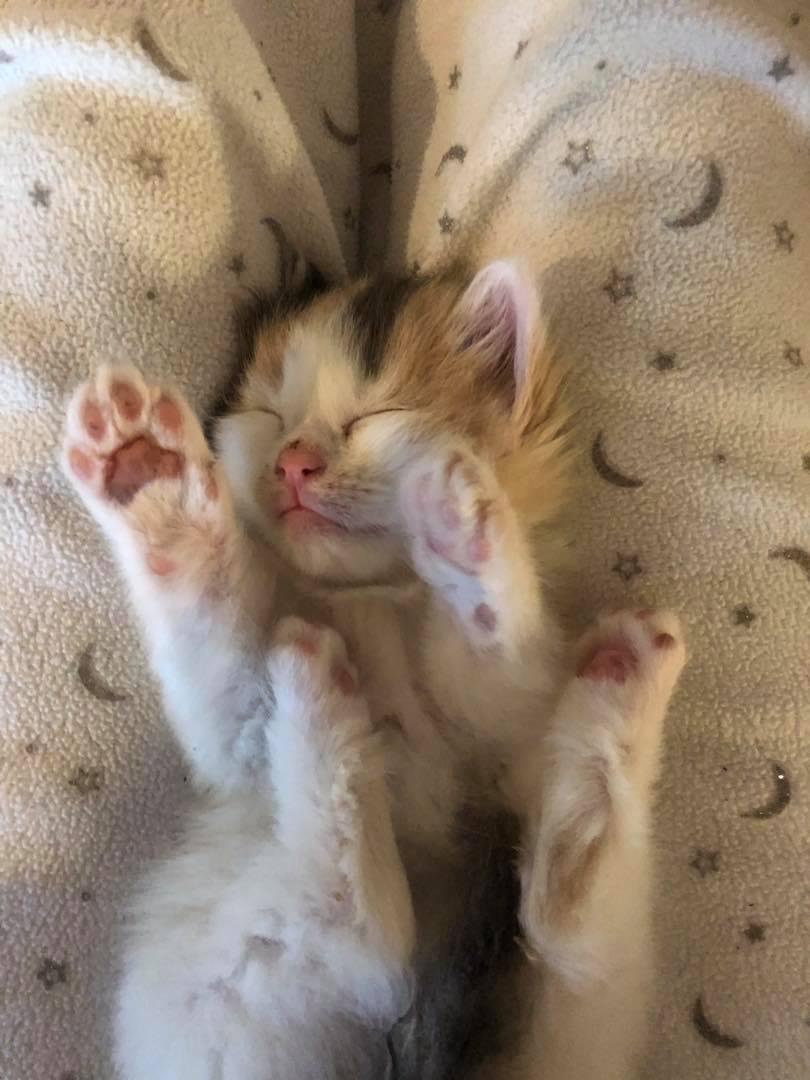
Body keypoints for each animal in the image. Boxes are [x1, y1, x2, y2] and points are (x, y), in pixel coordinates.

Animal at [61, 260, 685, 1080]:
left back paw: (620, 684)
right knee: (369, 946)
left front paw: (465, 532)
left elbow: (492, 660)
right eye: (269, 415)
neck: (369, 602)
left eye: (376, 413)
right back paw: (327, 698)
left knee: (536, 939)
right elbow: (217, 650)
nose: (294, 462)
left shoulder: (510, 714)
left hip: (585, 1012)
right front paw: (152, 482)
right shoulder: (238, 751)